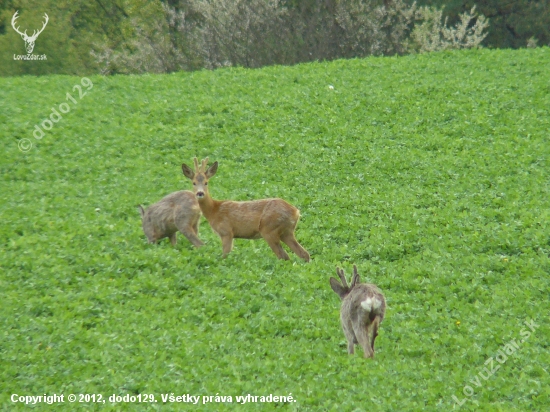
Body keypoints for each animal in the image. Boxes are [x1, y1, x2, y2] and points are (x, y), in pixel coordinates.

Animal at [181, 157, 310, 260]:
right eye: (193, 182)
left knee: (284, 256)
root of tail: (296, 212)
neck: (214, 210)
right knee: (303, 253)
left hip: (269, 229)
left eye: (206, 182)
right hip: (287, 232)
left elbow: (225, 255)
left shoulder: (226, 232)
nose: (200, 193)